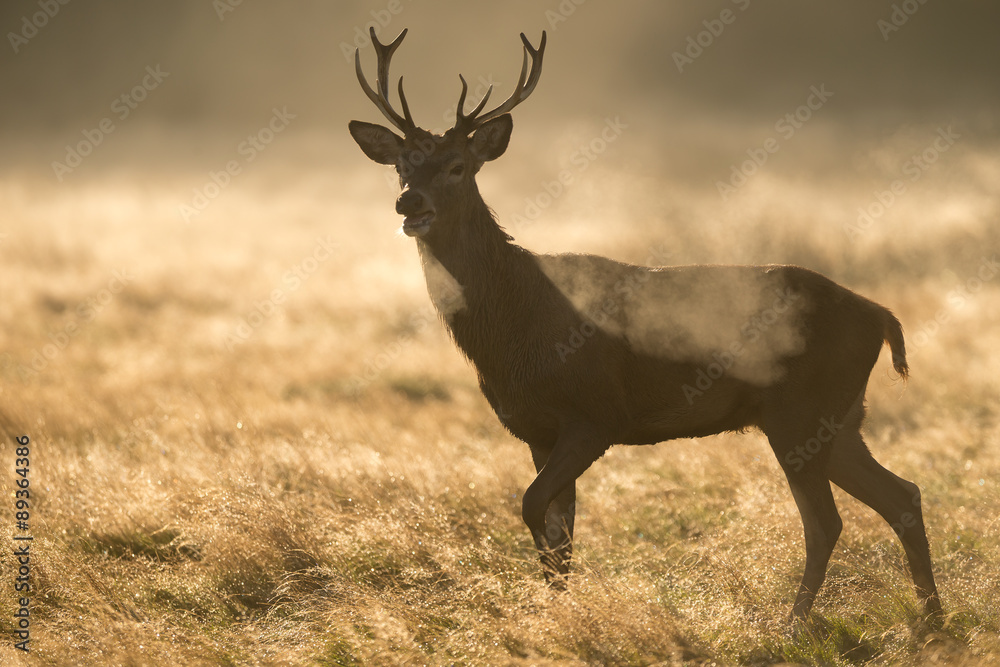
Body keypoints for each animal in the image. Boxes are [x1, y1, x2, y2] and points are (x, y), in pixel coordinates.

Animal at [348, 27, 942, 622]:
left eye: (458, 167)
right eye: (401, 165)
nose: (409, 203)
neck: (515, 326)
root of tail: (879, 315)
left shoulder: (596, 412)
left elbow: (534, 507)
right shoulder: (538, 430)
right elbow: (558, 538)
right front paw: (559, 616)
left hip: (801, 410)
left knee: (826, 522)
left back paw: (795, 625)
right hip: (838, 418)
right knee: (902, 495)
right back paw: (930, 620)